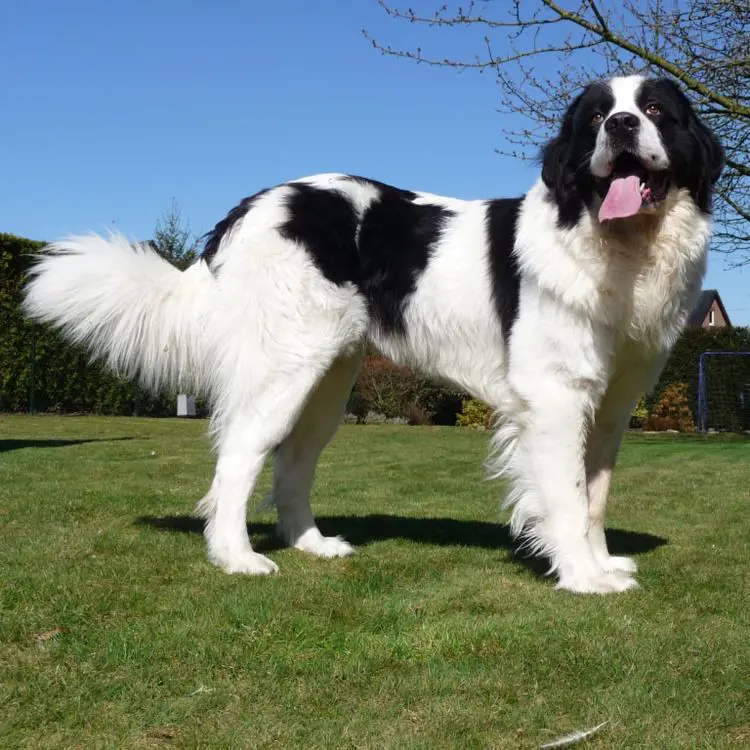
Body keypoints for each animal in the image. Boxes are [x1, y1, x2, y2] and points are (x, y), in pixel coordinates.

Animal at [26, 76, 724, 592]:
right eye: (597, 117)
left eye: (654, 110)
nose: (621, 125)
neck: (618, 246)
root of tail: (248, 209)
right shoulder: (554, 398)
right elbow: (568, 496)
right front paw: (583, 577)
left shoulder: (610, 406)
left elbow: (595, 494)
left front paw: (600, 561)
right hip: (283, 369)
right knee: (237, 459)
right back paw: (235, 557)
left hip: (326, 381)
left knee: (293, 463)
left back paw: (311, 545)